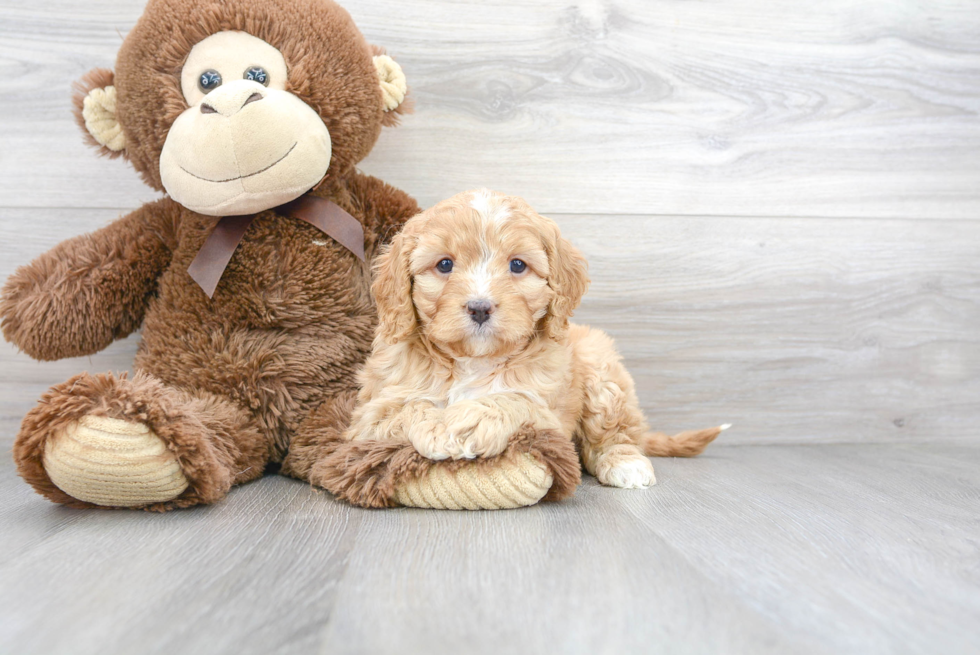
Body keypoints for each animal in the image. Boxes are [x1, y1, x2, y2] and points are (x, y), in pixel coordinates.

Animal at [346, 190, 728, 486]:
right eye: (444, 265)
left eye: (517, 265)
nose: (480, 308)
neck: (474, 360)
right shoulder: (370, 415)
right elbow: (410, 406)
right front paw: (438, 426)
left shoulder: (549, 417)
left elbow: (513, 399)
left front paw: (466, 423)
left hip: (601, 370)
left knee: (616, 432)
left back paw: (626, 463)